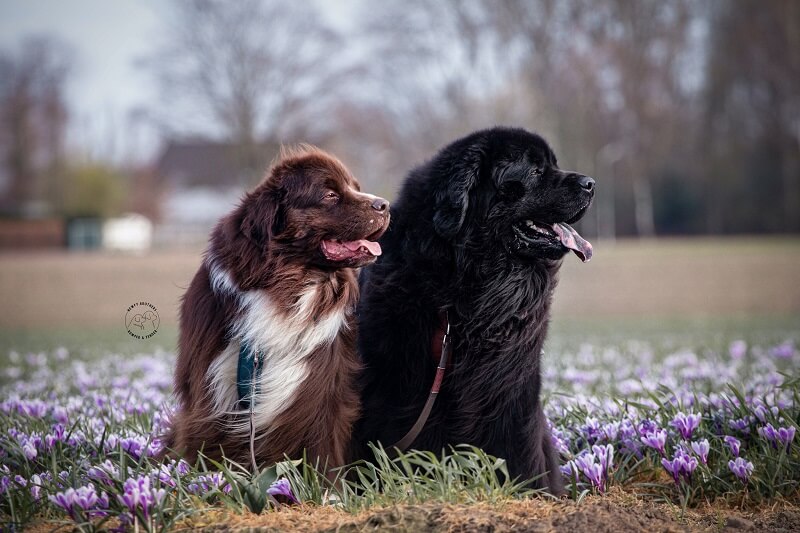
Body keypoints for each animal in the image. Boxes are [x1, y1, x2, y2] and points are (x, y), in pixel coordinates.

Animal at [168, 145, 390, 470]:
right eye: (330, 195)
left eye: (356, 187)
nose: (384, 204)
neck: (289, 283)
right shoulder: (212, 385)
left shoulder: (323, 383)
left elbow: (323, 443)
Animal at [356, 127, 592, 492]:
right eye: (535, 171)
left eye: (553, 165)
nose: (591, 183)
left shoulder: (510, 382)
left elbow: (518, 444)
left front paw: (531, 490)